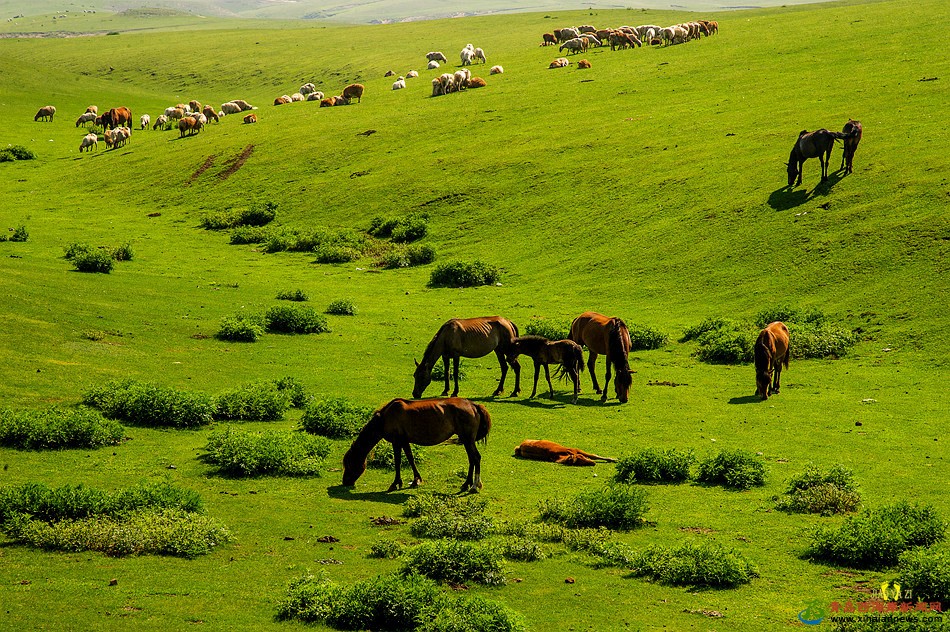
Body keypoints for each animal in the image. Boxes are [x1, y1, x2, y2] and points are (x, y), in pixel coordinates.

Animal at [340, 396, 490, 494]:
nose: (345, 482)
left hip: (468, 439)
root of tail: (474, 405)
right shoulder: (404, 441)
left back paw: (474, 486)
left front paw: (395, 483)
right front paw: (416, 480)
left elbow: (398, 461)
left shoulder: (396, 441)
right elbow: (410, 459)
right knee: (472, 459)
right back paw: (466, 484)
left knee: (476, 458)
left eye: (349, 465)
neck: (385, 418)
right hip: (466, 440)